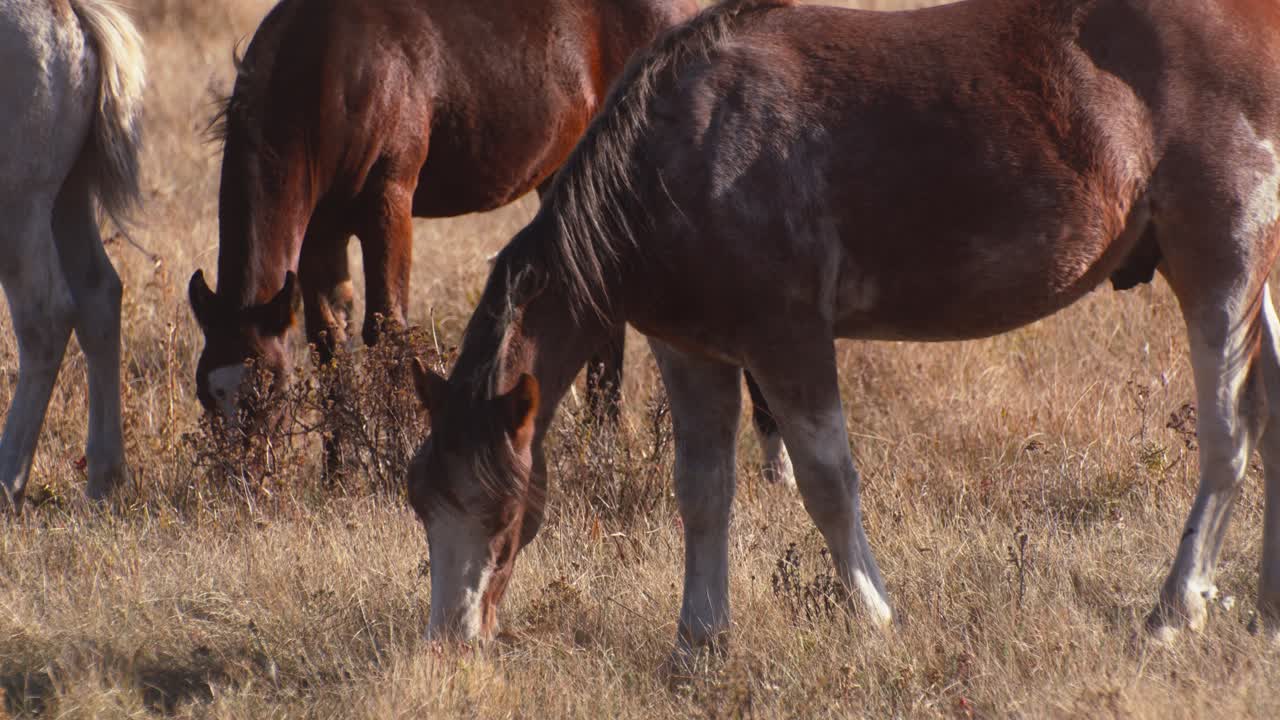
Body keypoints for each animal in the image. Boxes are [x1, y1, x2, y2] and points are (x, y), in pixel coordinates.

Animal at [0, 0, 145, 511]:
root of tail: (65, 14)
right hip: (67, 197)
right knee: (100, 296)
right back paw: (105, 477)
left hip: (19, 211)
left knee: (45, 319)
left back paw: (8, 481)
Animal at [183, 0, 793, 483]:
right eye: (207, 394)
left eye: (267, 391)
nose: (239, 482)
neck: (330, 69)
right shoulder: (321, 231)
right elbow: (329, 341)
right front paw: (337, 471)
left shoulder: (389, 204)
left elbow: (388, 330)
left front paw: (391, 460)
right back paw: (601, 449)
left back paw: (776, 465)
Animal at [407, 0, 1280, 658]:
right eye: (421, 502)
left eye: (502, 513)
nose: (450, 642)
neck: (685, 149)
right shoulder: (689, 350)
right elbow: (703, 492)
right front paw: (697, 643)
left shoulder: (787, 337)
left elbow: (827, 484)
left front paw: (873, 616)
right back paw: (1266, 608)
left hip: (1222, 257)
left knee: (1228, 435)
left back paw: (1173, 610)